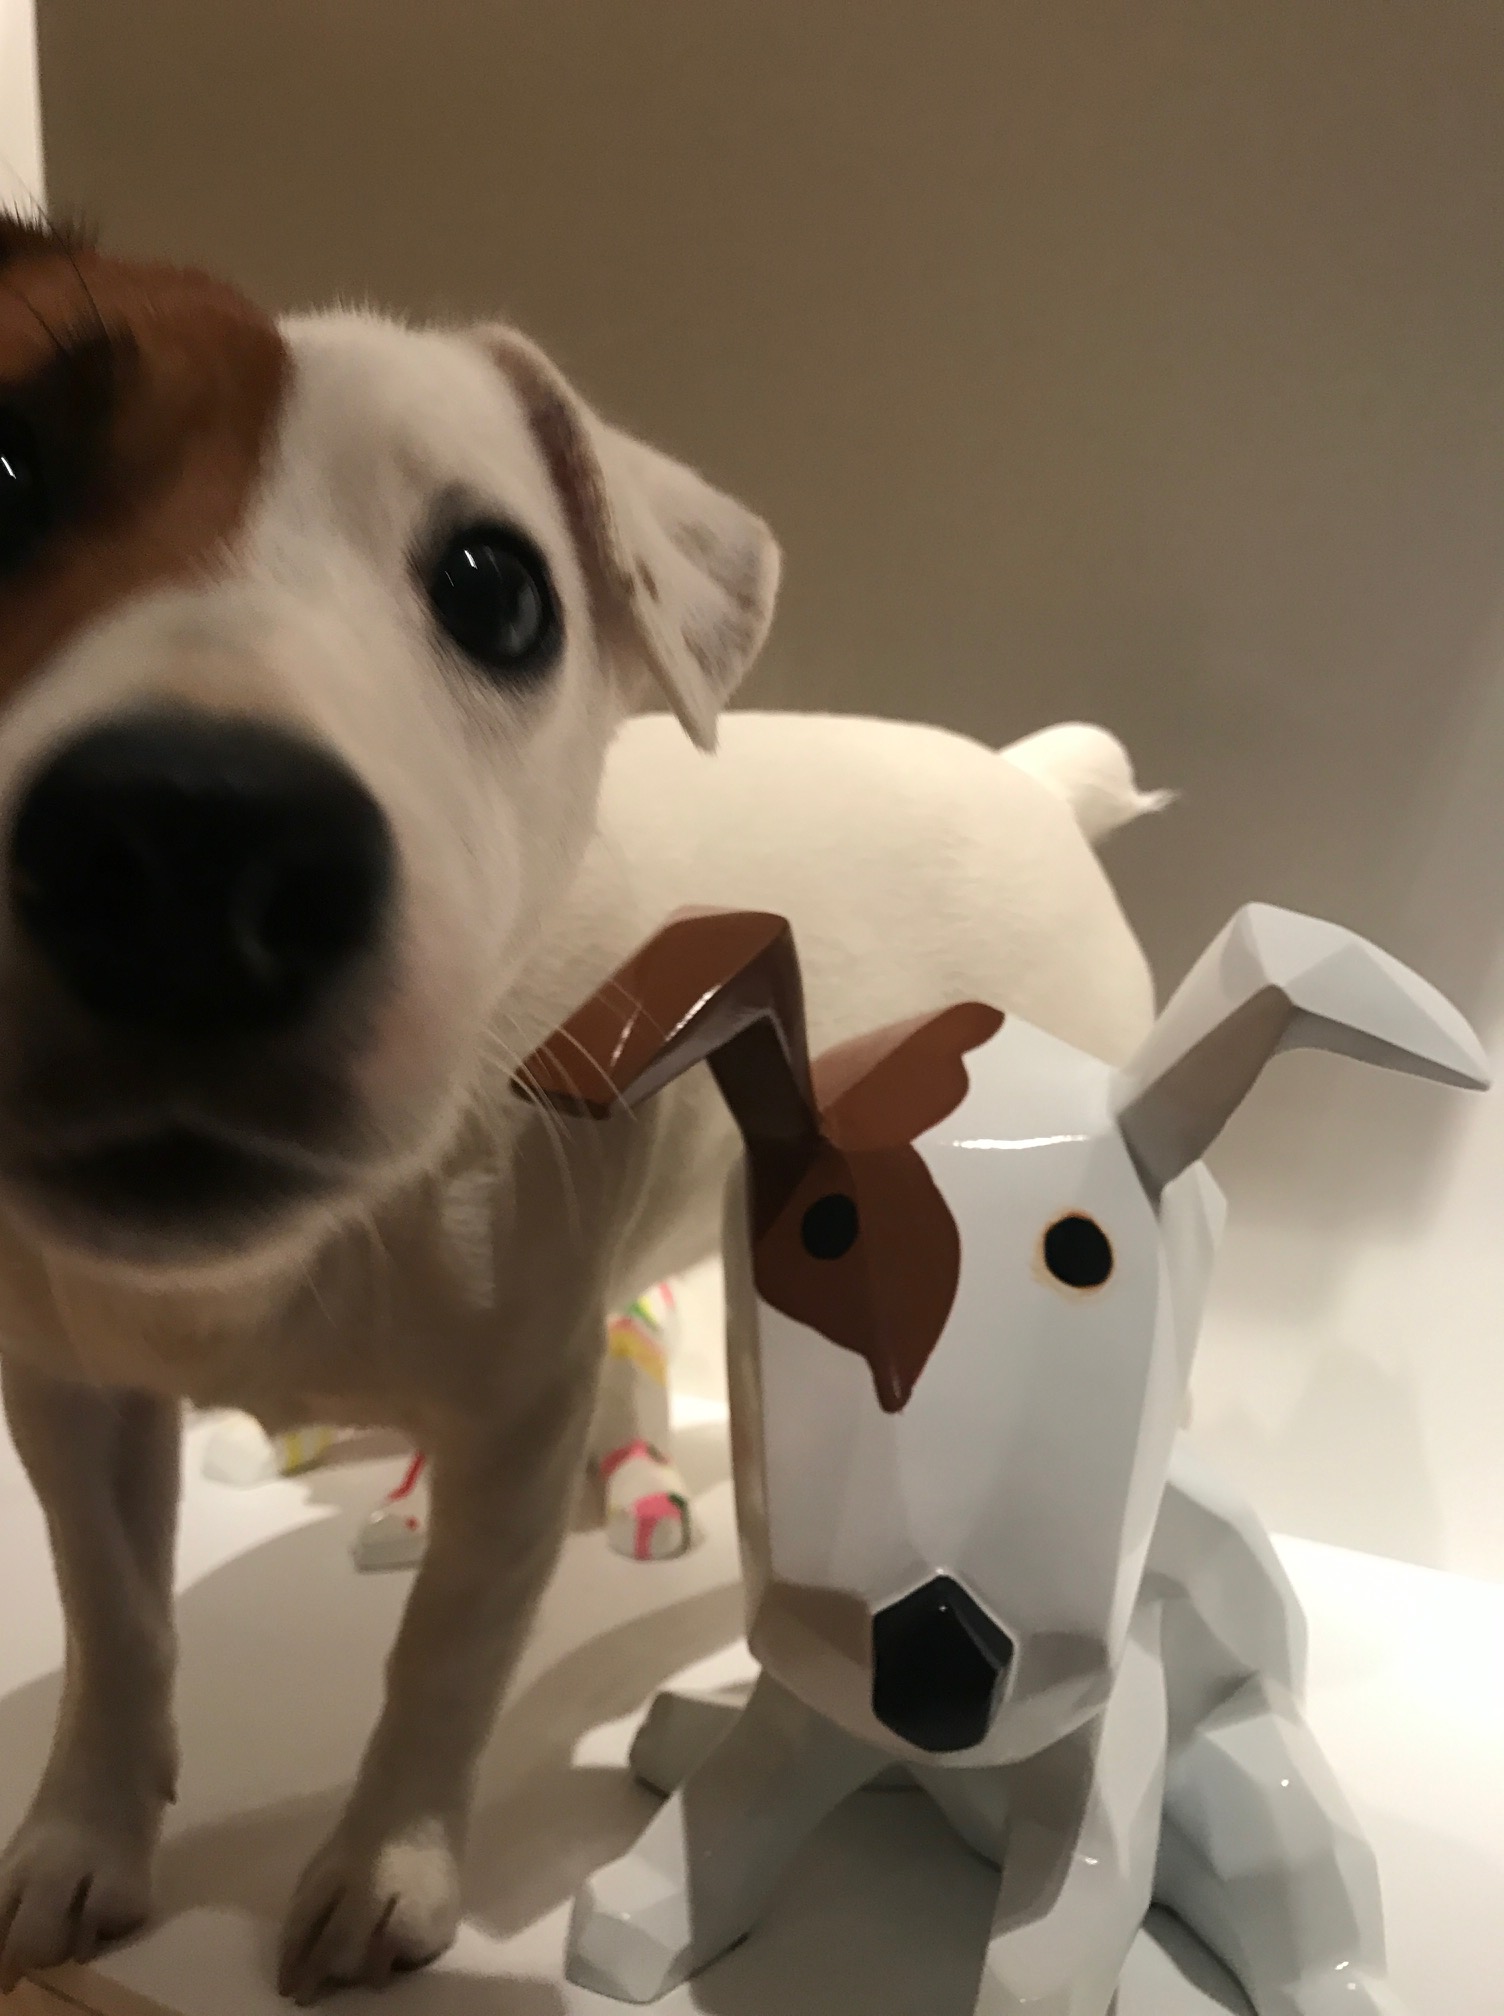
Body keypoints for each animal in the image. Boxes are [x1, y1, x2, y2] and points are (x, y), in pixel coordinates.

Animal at [0, 214, 1162, 1999]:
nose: (190, 843)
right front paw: (86, 1838)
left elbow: (442, 1658)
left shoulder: (513, 1423)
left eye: (498, 590)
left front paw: (385, 1871)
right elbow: (118, 1624)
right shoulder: (68, 1397)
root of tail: (1033, 779)